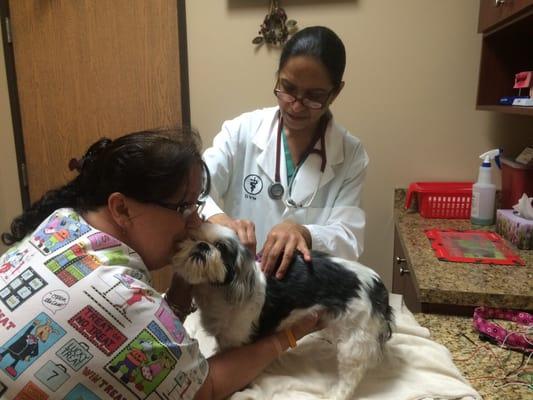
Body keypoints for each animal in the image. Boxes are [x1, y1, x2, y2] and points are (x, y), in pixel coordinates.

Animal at [172, 223, 392, 398]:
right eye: (192, 238)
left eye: (220, 247)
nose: (202, 245)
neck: (218, 292)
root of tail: (377, 286)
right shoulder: (225, 337)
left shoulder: (238, 340)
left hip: (354, 338)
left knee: (351, 374)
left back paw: (336, 394)